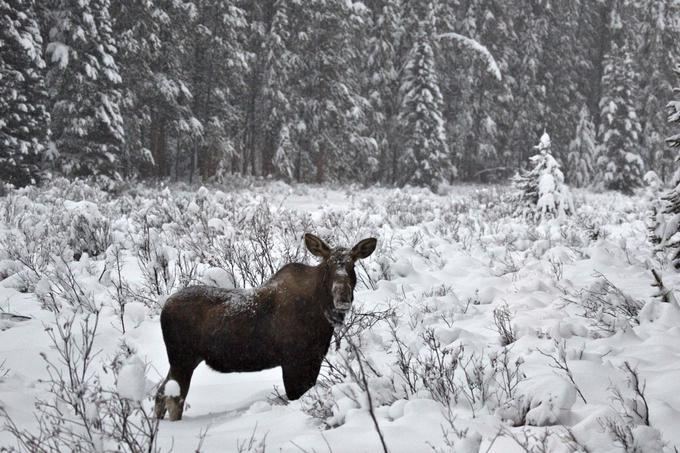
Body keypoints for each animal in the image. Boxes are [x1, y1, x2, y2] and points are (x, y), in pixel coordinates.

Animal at [154, 233, 378, 420]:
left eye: (352, 266)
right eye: (328, 266)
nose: (342, 298)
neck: (321, 312)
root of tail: (165, 307)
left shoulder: (313, 359)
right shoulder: (294, 361)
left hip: (183, 360)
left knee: (160, 394)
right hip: (182, 359)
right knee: (174, 399)